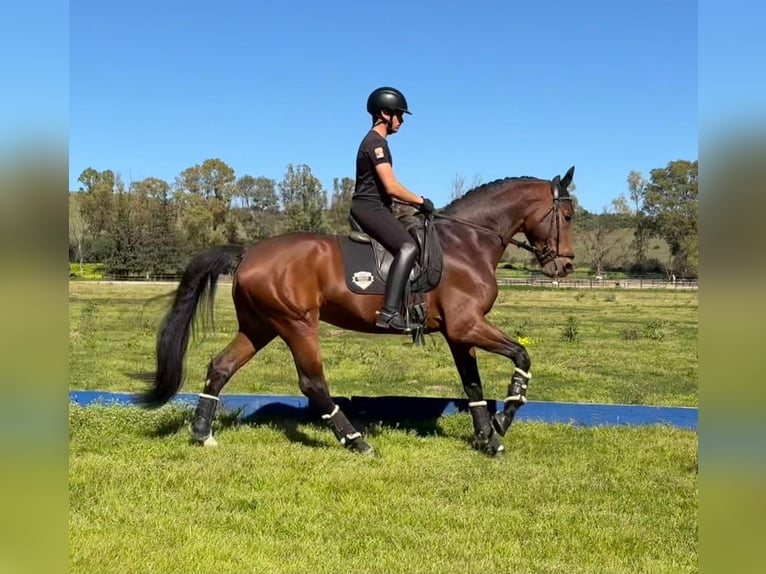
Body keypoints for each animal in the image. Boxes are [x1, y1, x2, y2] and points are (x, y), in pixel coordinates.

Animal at [141, 166, 576, 456]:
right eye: (568, 216)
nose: (566, 267)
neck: (467, 243)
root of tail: (249, 252)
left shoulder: (459, 332)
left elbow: (473, 386)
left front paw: (488, 437)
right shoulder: (468, 325)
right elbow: (522, 357)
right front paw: (504, 420)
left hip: (259, 326)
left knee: (221, 366)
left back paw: (202, 433)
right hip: (296, 323)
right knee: (313, 383)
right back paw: (356, 440)